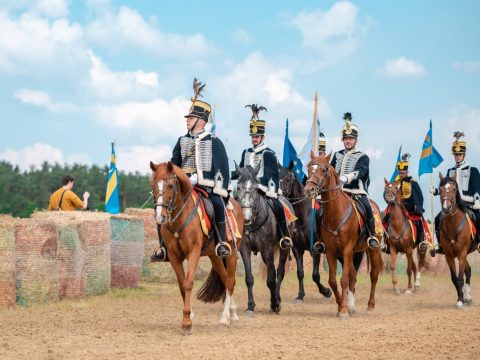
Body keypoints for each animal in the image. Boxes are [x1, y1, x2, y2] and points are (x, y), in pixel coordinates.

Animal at [149, 162, 244, 334]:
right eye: (153, 185)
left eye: (171, 185)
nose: (160, 217)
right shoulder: (174, 256)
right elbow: (181, 284)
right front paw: (189, 315)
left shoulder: (193, 252)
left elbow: (188, 283)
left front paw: (186, 322)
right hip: (214, 256)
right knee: (225, 278)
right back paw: (232, 312)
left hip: (232, 252)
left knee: (230, 281)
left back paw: (226, 317)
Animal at [235, 162, 290, 314]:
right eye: (238, 187)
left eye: (255, 188)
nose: (246, 218)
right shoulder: (245, 249)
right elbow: (249, 278)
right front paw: (250, 306)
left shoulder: (267, 249)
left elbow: (271, 279)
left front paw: (275, 303)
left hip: (283, 249)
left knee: (279, 272)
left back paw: (276, 300)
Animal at [306, 152, 384, 318]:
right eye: (309, 168)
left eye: (324, 170)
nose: (308, 189)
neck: (336, 213)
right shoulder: (331, 251)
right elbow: (333, 281)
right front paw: (341, 305)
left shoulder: (347, 249)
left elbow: (343, 280)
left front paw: (343, 310)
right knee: (353, 275)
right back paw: (351, 306)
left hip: (372, 250)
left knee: (373, 275)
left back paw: (370, 306)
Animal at [436, 173, 474, 308]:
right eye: (440, 189)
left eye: (453, 189)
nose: (446, 208)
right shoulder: (449, 255)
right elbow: (455, 278)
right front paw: (461, 298)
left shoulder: (462, 253)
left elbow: (460, 277)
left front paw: (461, 301)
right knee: (468, 270)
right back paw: (468, 297)